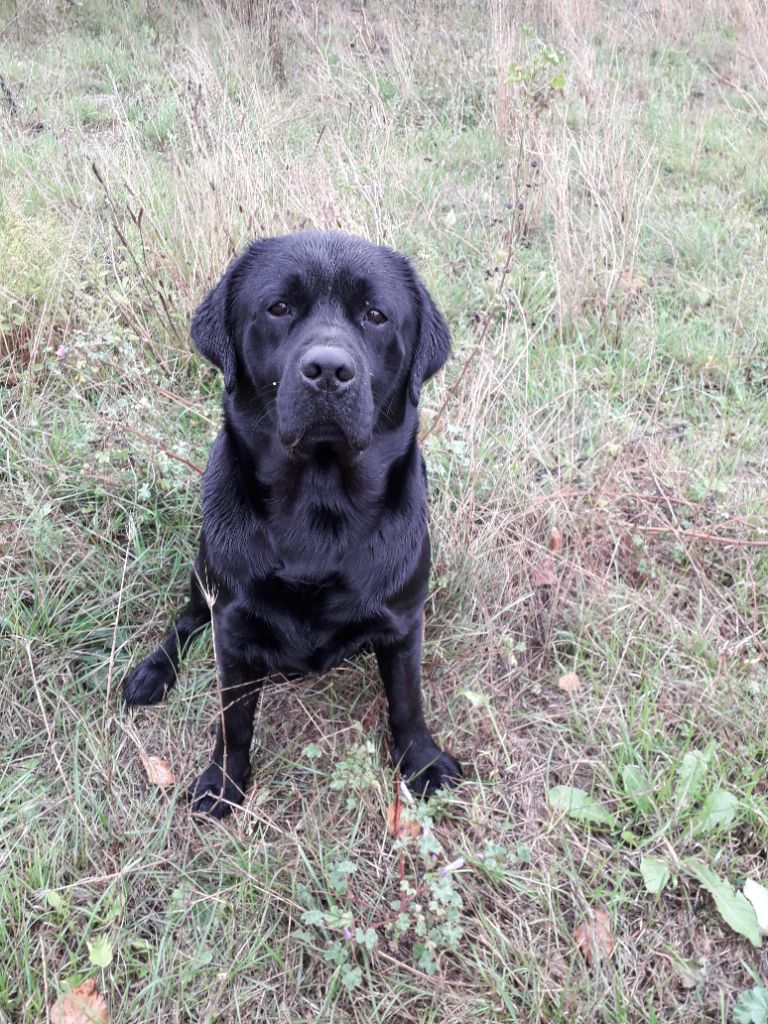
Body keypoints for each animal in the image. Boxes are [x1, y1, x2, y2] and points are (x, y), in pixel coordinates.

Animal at [124, 230, 462, 815]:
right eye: (278, 308)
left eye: (376, 315)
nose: (328, 370)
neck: (318, 508)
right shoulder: (233, 630)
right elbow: (233, 721)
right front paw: (225, 782)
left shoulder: (403, 623)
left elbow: (407, 701)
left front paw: (421, 762)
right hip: (203, 570)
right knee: (185, 622)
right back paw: (152, 672)